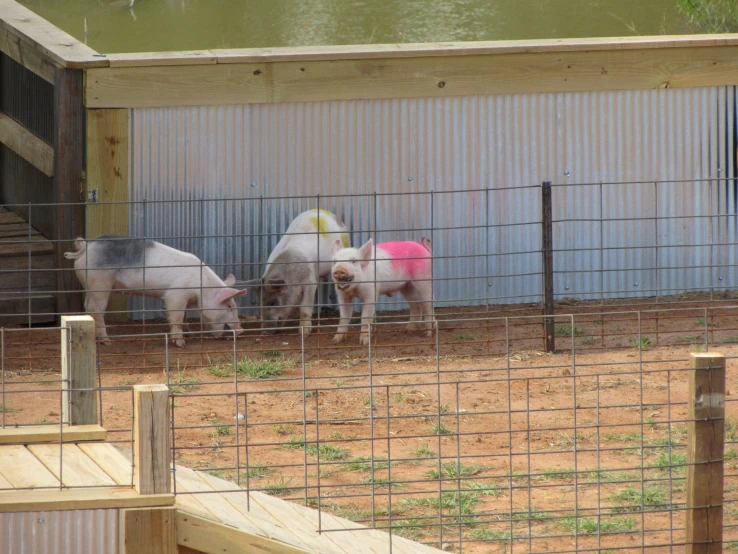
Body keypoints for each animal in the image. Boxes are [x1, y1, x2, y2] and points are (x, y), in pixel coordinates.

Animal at [64, 235, 247, 348]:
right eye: (229, 306)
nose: (241, 330)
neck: (202, 288)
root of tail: (86, 247)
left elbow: (184, 316)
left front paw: (191, 335)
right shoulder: (176, 294)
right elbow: (177, 317)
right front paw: (181, 343)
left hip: (89, 284)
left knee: (88, 306)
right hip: (100, 282)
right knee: (96, 309)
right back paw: (107, 341)